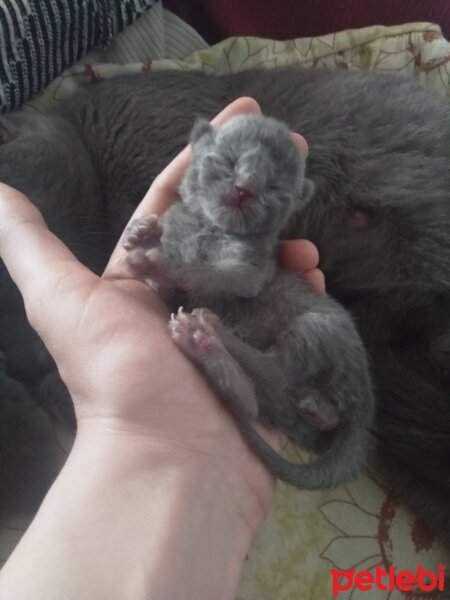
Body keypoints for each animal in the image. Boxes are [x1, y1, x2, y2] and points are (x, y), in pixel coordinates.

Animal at [123, 115, 376, 490]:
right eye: (229, 162)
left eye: (273, 186)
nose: (246, 187)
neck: (209, 227)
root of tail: (365, 401)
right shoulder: (173, 289)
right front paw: (140, 231)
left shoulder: (249, 270)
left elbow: (208, 272)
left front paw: (158, 261)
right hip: (287, 406)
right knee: (256, 404)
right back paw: (210, 351)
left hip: (317, 326)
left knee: (275, 369)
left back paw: (210, 333)